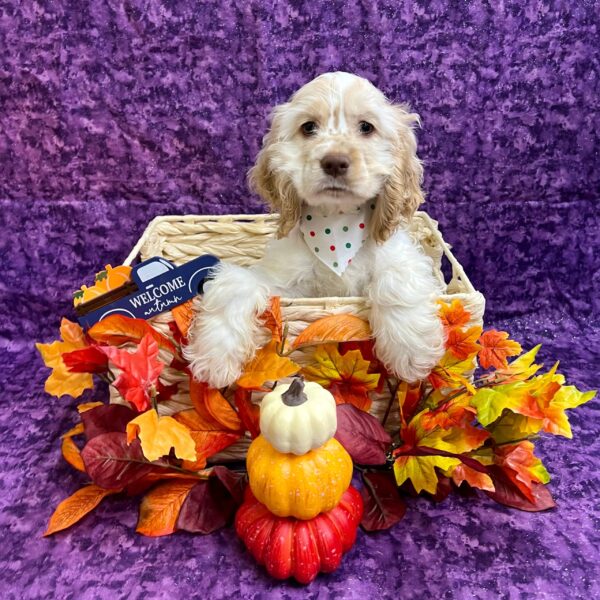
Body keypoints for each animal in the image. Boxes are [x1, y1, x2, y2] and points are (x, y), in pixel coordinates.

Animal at [186, 71, 446, 390]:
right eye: (308, 127)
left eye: (366, 127)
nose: (334, 162)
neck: (336, 225)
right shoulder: (280, 283)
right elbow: (234, 284)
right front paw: (214, 356)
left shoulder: (402, 255)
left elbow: (396, 280)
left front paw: (411, 354)